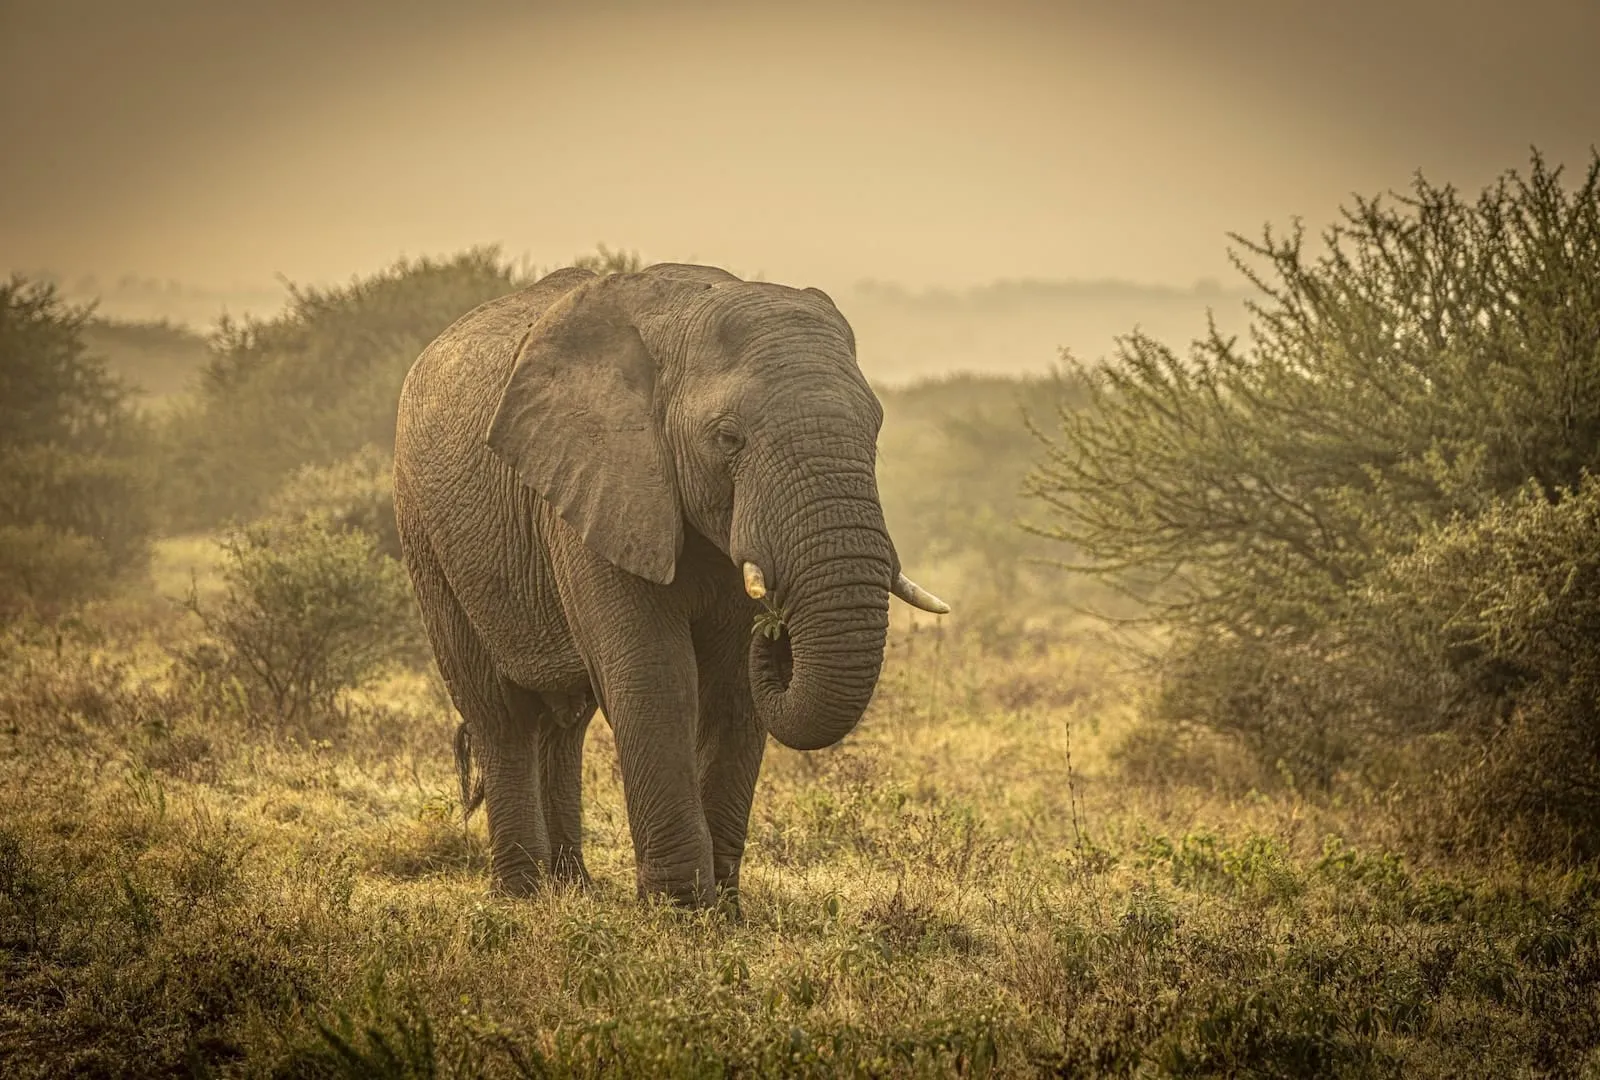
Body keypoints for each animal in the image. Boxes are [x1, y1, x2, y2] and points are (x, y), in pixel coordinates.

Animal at [392, 262, 949, 911]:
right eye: (729, 439)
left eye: (875, 429)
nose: (777, 631)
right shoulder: (600, 481)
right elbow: (655, 678)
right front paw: (680, 908)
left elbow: (732, 691)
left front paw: (723, 908)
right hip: (424, 530)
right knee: (499, 714)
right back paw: (523, 895)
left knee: (564, 725)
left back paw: (572, 889)